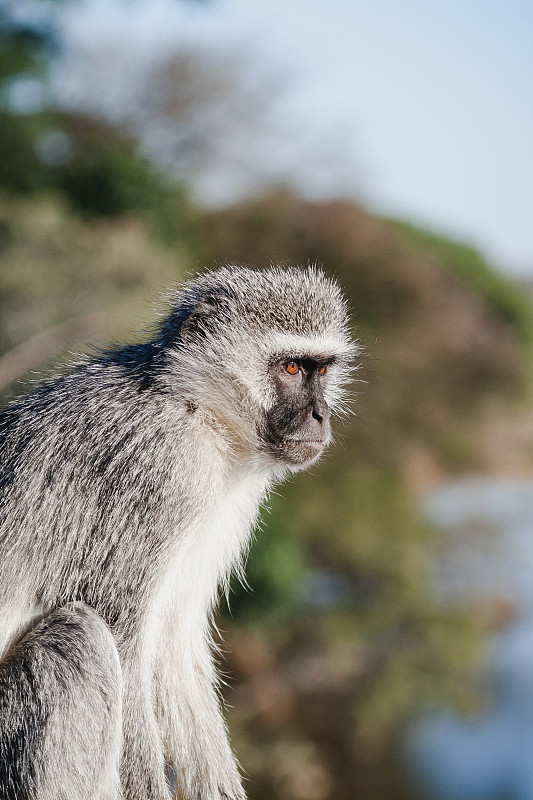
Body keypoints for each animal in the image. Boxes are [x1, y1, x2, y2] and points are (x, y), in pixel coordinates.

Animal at [1, 266, 358, 796]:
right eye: (293, 369)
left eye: (323, 369)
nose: (320, 416)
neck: (196, 408)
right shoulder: (160, 472)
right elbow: (124, 641)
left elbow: (174, 645)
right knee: (81, 638)